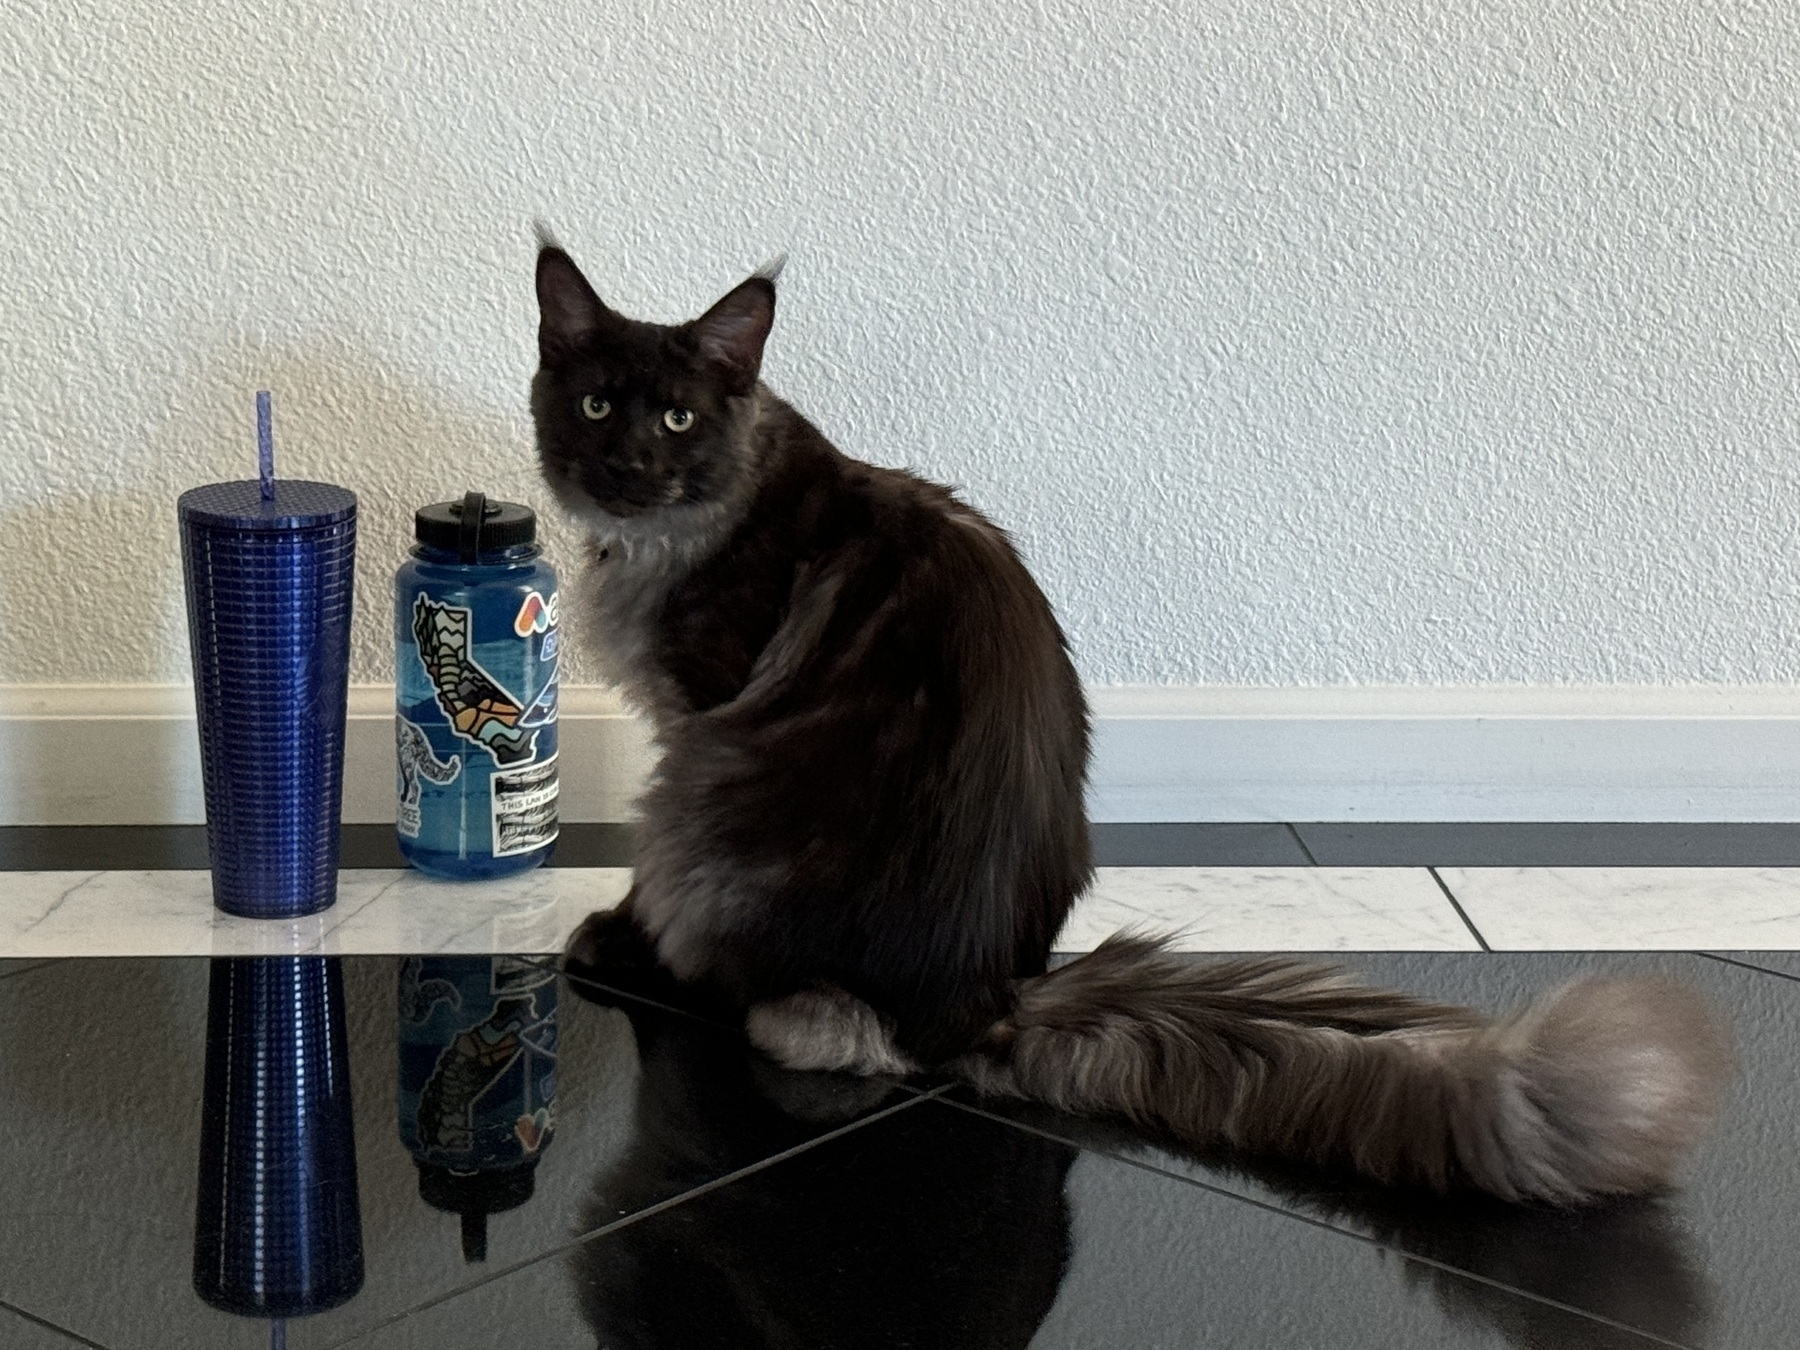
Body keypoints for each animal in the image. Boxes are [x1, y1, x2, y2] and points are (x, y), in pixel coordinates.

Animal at [529, 243, 1728, 1202]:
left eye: (677, 416)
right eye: (593, 406)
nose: (625, 465)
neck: (700, 519)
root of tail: (982, 1003)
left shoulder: (692, 711)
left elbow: (636, 885)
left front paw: (611, 932)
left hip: (694, 807)